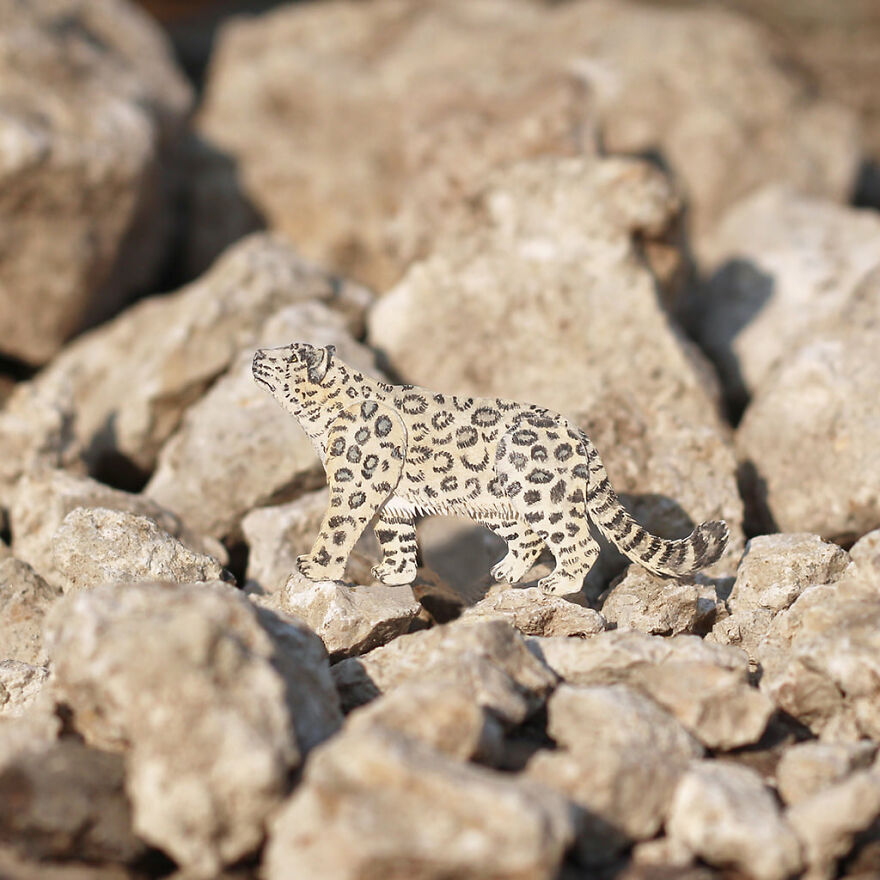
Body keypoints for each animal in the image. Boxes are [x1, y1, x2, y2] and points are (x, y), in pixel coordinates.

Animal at [252, 342, 729, 595]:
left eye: (288, 356)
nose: (257, 352)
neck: (318, 427)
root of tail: (581, 435)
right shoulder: (390, 500)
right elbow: (396, 536)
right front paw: (395, 573)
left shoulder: (356, 483)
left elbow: (338, 526)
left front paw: (315, 568)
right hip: (498, 503)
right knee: (530, 537)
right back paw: (506, 572)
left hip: (542, 495)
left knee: (579, 541)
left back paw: (557, 583)